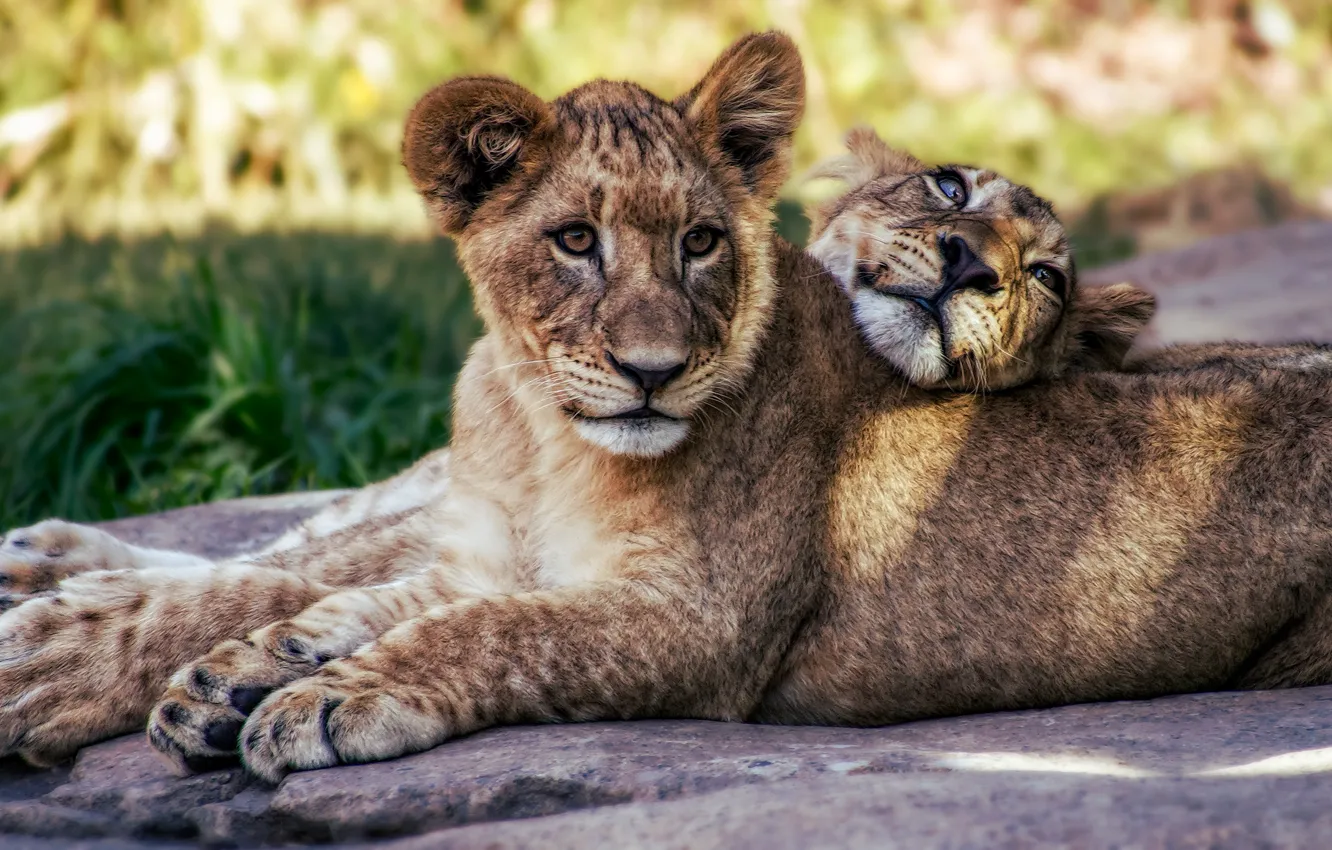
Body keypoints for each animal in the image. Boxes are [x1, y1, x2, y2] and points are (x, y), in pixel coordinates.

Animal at [0, 34, 1330, 786]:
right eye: (949, 189)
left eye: (699, 244)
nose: (968, 265)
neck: (541, 439)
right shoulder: (482, 540)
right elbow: (332, 587)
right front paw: (223, 671)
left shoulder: (701, 627)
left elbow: (486, 630)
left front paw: (310, 697)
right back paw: (50, 555)